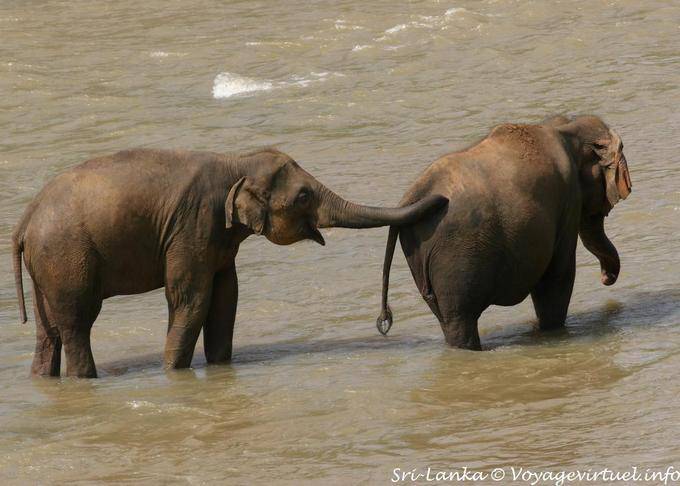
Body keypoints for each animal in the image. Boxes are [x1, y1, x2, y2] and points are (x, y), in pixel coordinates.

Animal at [13, 148, 447, 377]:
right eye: (304, 196)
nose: (442, 200)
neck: (234, 161)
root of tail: (25, 222)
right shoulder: (192, 227)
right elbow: (191, 300)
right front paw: (174, 372)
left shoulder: (217, 241)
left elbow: (226, 298)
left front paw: (219, 368)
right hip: (67, 257)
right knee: (77, 322)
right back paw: (85, 378)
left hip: (47, 267)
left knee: (48, 331)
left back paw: (44, 379)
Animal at [376, 115, 632, 349]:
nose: (605, 278)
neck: (563, 127)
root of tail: (410, 198)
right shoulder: (568, 200)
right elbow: (558, 276)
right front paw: (552, 331)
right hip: (455, 255)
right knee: (461, 318)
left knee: (447, 319)